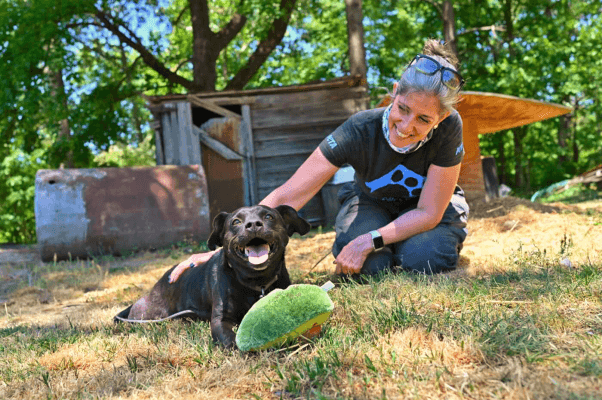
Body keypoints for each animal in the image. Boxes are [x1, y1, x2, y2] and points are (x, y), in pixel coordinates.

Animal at [113, 205, 310, 348]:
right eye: (236, 221)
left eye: (269, 217)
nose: (253, 224)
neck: (255, 282)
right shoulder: (220, 320)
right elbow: (231, 340)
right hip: (149, 315)